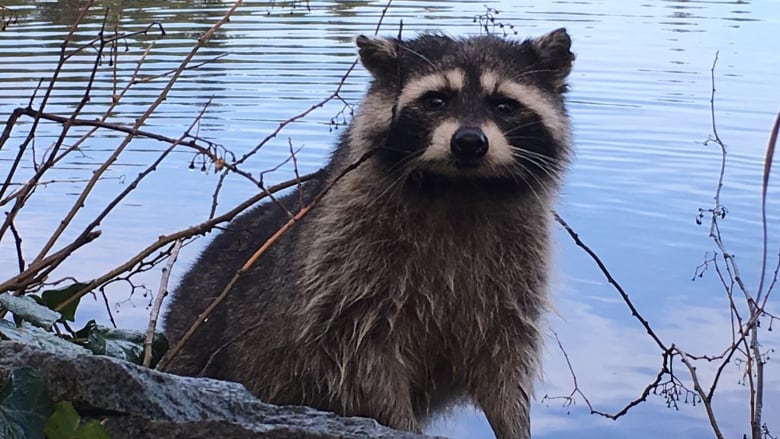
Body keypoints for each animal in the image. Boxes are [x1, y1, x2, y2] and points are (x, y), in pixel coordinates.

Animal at [165, 28, 576, 439]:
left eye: (504, 105)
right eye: (436, 100)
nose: (470, 142)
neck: (459, 188)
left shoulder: (512, 282)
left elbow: (504, 369)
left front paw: (514, 424)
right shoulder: (345, 271)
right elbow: (366, 364)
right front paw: (402, 424)